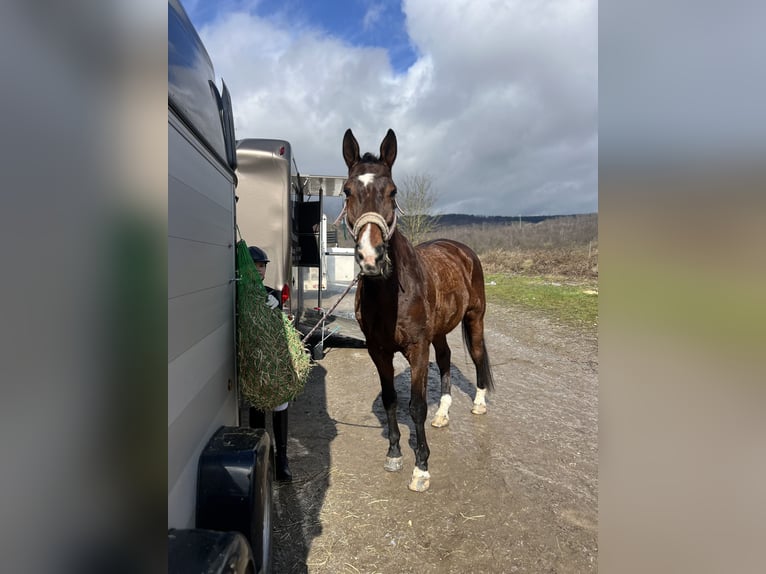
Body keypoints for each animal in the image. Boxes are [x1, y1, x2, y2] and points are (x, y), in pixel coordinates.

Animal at [342, 130, 498, 496]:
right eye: (347, 191)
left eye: (393, 191)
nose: (371, 258)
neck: (390, 294)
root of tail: (462, 250)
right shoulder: (378, 351)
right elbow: (390, 401)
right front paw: (395, 454)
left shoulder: (416, 349)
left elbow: (415, 406)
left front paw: (422, 467)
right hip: (439, 332)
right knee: (445, 359)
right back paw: (443, 413)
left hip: (475, 318)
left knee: (478, 355)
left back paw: (479, 403)